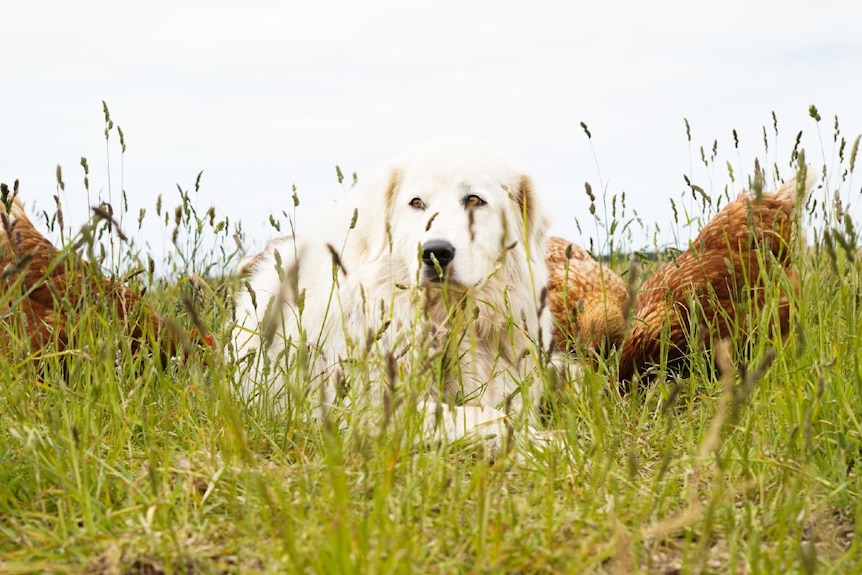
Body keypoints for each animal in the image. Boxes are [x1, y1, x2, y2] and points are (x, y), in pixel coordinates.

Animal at [231, 141, 552, 450]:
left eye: (474, 200)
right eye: (417, 203)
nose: (435, 252)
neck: (443, 318)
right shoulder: (366, 409)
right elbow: (484, 416)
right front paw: (543, 442)